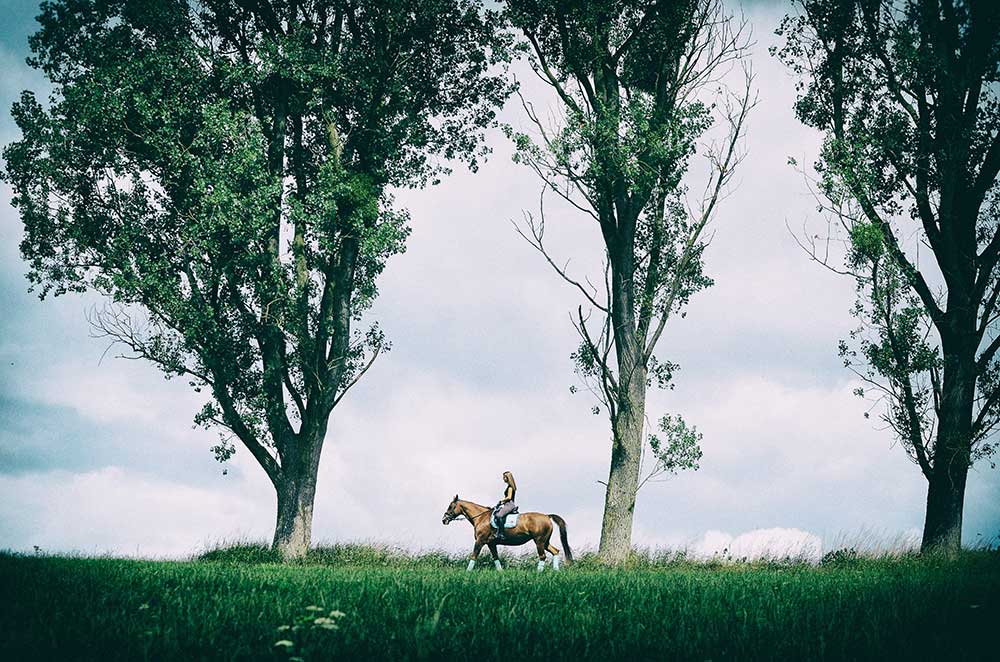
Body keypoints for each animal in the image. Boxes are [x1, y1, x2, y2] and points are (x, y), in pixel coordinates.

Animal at [442, 496, 576, 572]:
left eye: (451, 506)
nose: (444, 520)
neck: (481, 517)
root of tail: (547, 516)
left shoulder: (480, 541)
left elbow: (474, 556)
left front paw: (467, 572)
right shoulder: (491, 543)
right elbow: (496, 558)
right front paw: (500, 573)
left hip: (539, 541)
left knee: (542, 556)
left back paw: (539, 573)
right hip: (545, 542)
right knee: (555, 551)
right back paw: (556, 571)